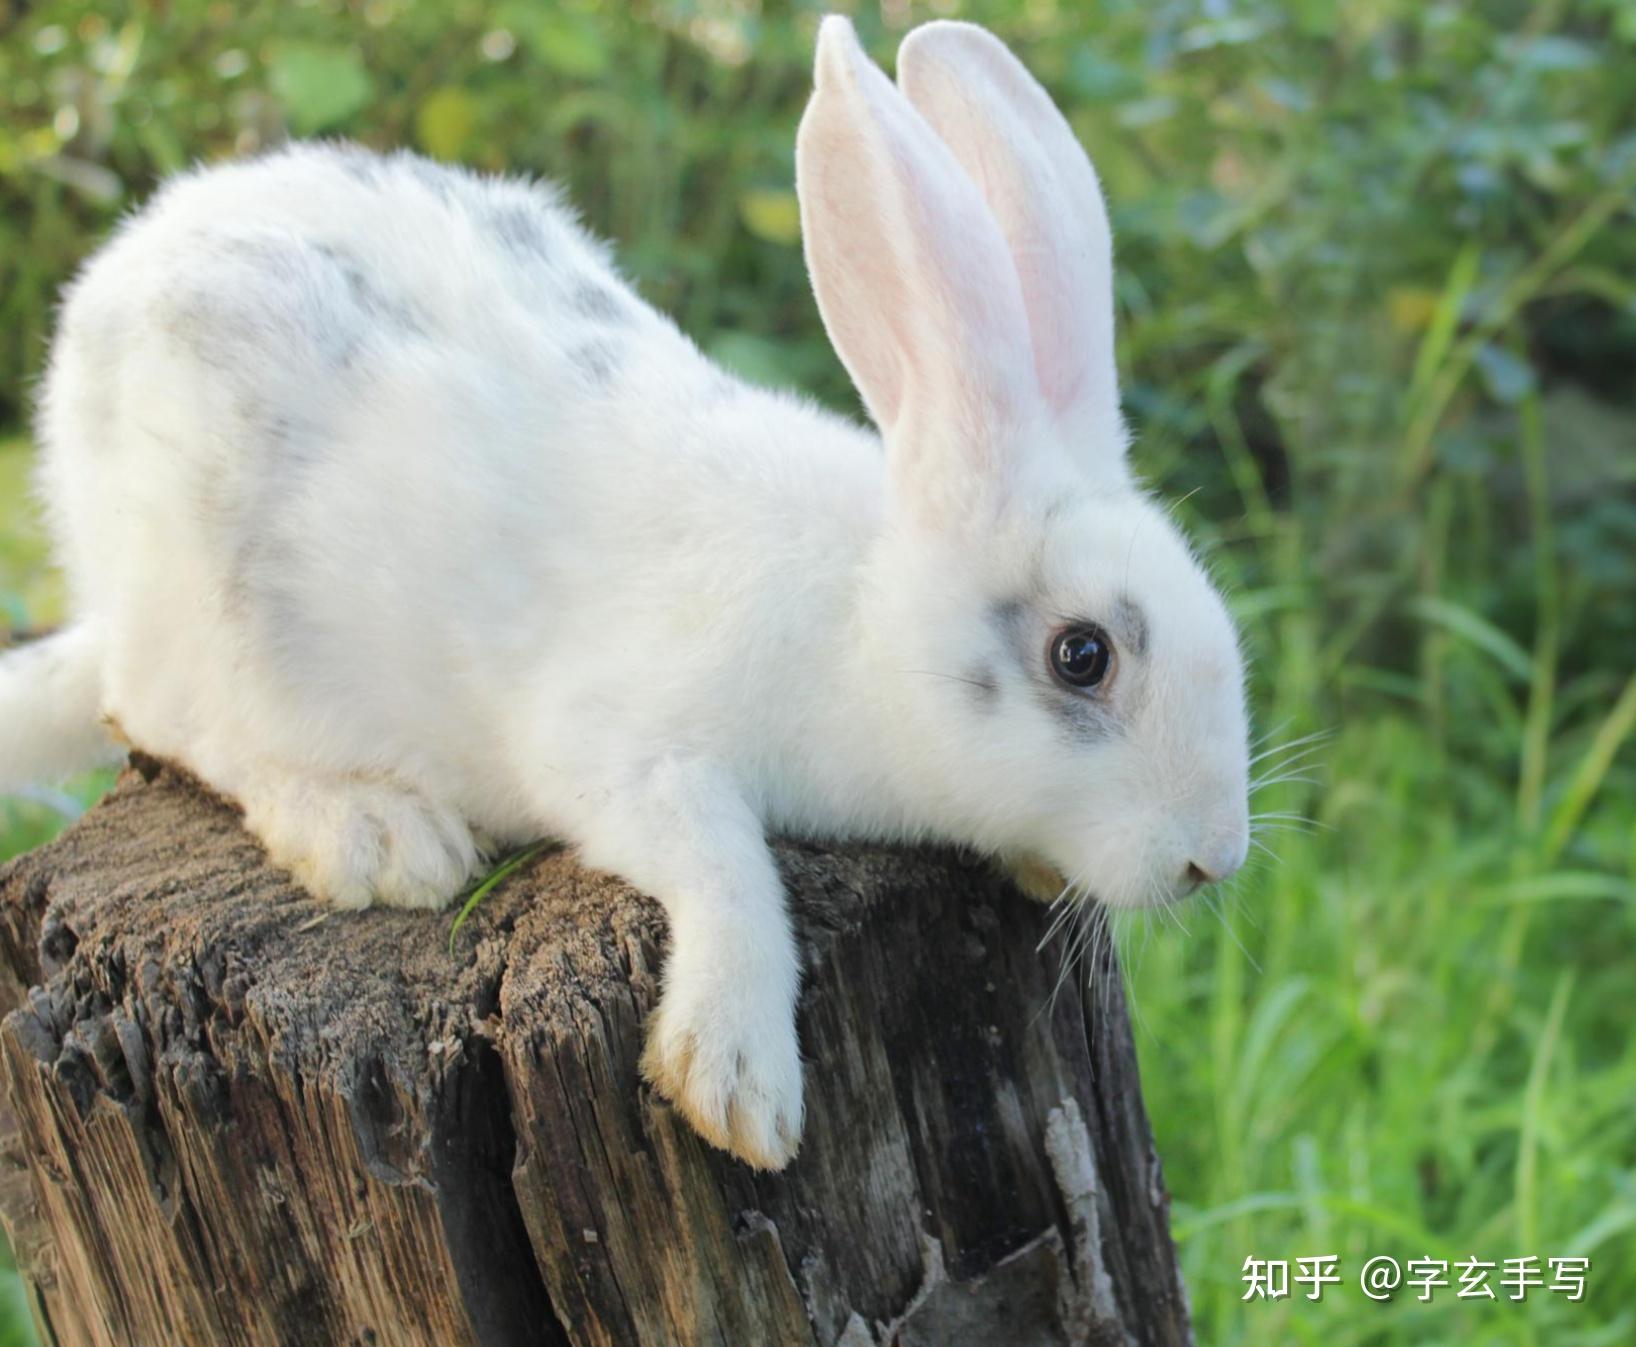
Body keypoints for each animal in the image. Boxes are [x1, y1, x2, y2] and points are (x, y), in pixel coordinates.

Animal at [3, 18, 1249, 1171]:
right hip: (210, 621)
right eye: (1081, 655)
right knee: (170, 721)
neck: (859, 619)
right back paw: (375, 834)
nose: (1212, 859)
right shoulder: (622, 752)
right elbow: (728, 867)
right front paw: (738, 1084)